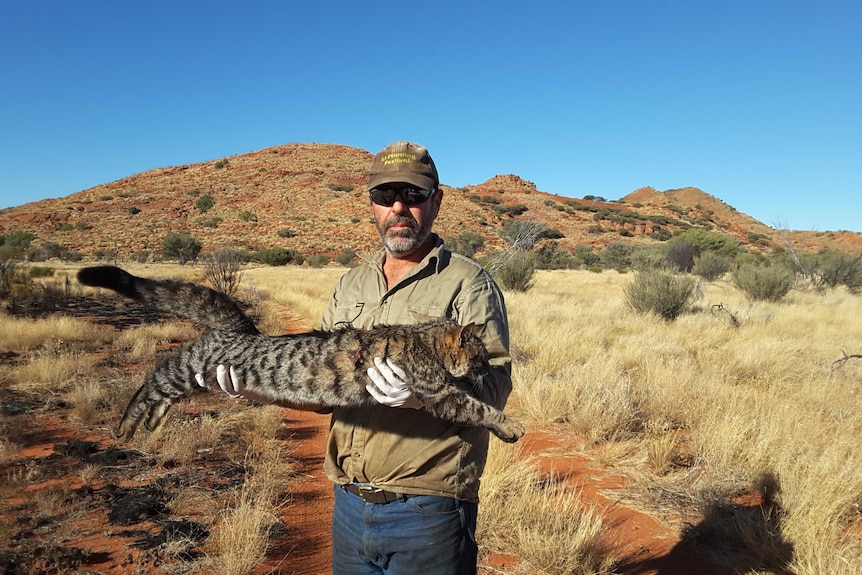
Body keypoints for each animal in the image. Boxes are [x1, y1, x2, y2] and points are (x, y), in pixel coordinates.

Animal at [79, 268, 528, 444]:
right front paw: (511, 426)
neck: (425, 339)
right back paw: (126, 425)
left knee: (165, 396)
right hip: (189, 367)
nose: (488, 368)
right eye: (481, 357)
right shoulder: (439, 392)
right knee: (153, 379)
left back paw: (152, 422)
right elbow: (480, 408)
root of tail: (239, 328)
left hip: (195, 378)